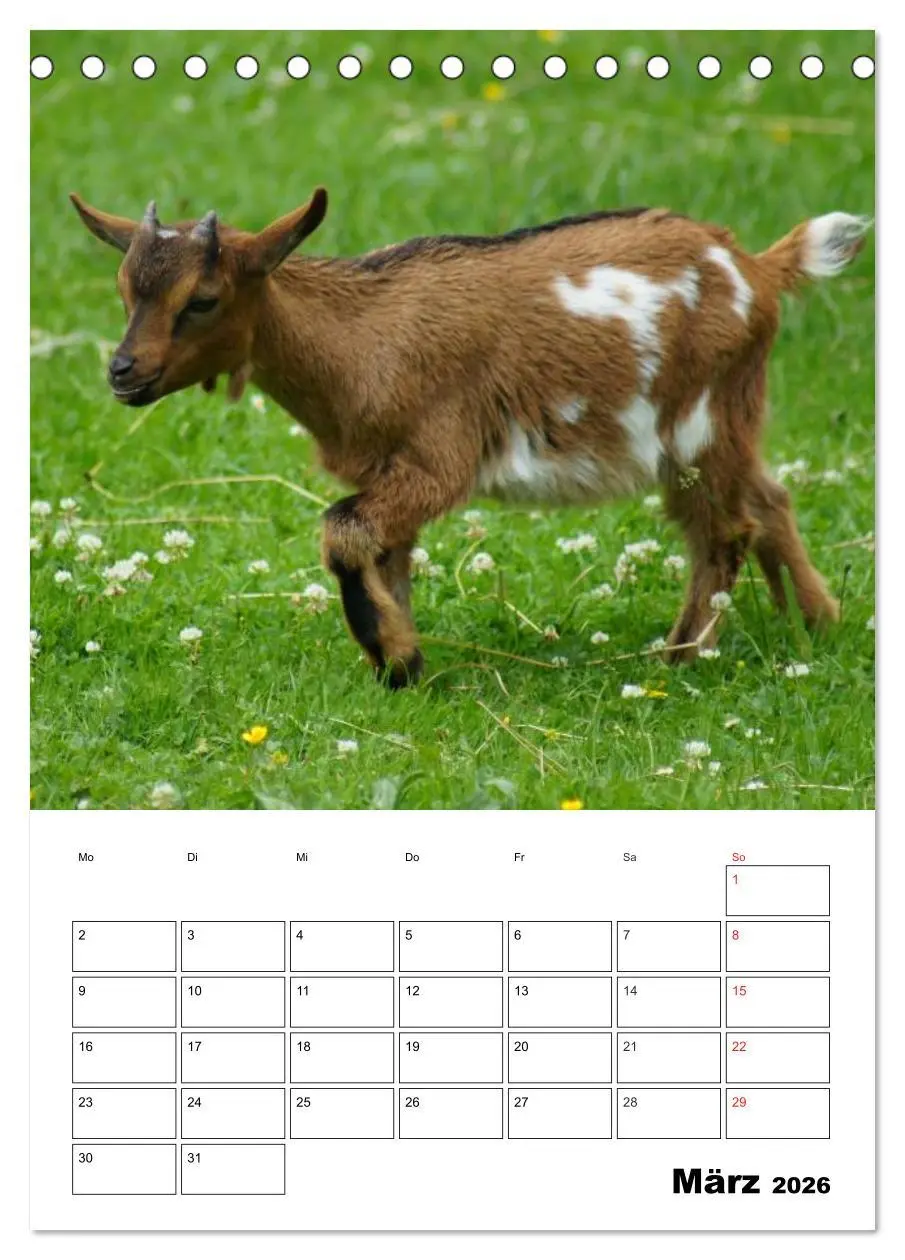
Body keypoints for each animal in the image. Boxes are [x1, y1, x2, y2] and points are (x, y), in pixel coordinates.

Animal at [70, 189, 870, 687]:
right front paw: (400, 660)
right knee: (768, 500)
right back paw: (816, 624)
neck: (357, 340)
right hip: (727, 427)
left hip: (700, 426)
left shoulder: (439, 459)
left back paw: (679, 657)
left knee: (725, 529)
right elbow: (384, 551)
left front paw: (396, 659)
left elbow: (344, 532)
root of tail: (758, 269)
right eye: (124, 290)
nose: (123, 373)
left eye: (202, 300)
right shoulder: (387, 468)